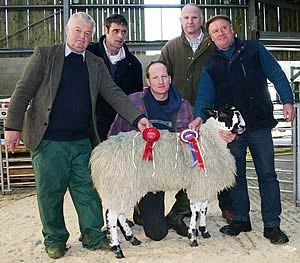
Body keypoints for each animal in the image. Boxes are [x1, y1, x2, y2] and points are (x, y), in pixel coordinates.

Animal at [90, 106, 245, 258]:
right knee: (111, 215)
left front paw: (204, 230)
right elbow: (195, 211)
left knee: (120, 214)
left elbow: (203, 208)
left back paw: (132, 238)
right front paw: (193, 237)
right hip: (120, 184)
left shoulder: (203, 184)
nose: (242, 127)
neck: (209, 142)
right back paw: (117, 248)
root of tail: (99, 154)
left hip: (126, 187)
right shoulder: (198, 184)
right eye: (224, 114)